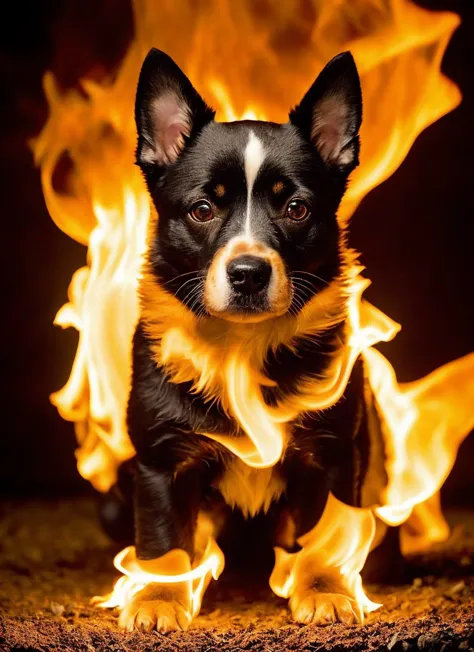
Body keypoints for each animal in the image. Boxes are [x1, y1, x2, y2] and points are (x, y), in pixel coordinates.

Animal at [115, 47, 392, 632]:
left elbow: (325, 537)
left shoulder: (331, 454)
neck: (242, 350)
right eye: (202, 209)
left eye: (296, 208)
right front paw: (159, 598)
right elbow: (164, 543)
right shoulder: (160, 459)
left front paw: (326, 590)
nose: (248, 273)